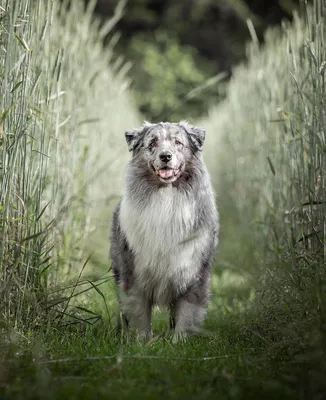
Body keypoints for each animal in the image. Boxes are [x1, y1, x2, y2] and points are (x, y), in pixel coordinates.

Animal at [109, 121, 219, 340]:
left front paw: (180, 341)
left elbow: (187, 313)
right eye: (152, 143)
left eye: (178, 142)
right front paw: (142, 341)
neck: (166, 197)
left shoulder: (193, 272)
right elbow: (139, 313)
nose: (165, 156)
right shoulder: (134, 273)